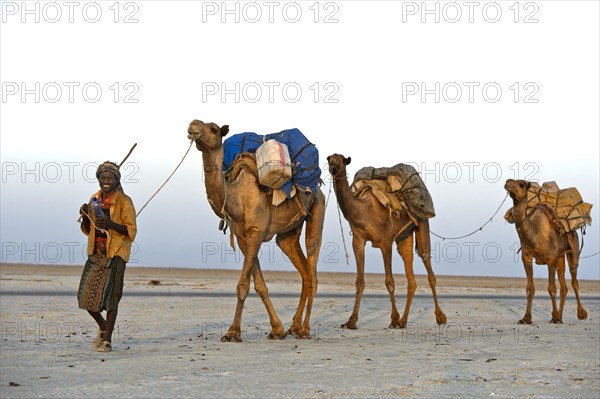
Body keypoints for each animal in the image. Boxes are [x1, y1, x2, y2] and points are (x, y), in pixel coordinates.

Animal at [190, 120, 326, 342]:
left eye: (213, 129)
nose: (193, 126)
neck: (238, 197)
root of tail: (318, 188)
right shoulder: (243, 237)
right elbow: (259, 285)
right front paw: (277, 330)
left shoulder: (256, 232)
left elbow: (243, 285)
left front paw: (232, 333)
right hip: (288, 234)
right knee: (304, 271)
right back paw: (294, 327)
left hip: (317, 209)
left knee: (312, 267)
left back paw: (305, 330)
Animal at [328, 155, 446, 330]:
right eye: (329, 159)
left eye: (341, 160)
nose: (333, 167)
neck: (364, 210)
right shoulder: (358, 241)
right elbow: (359, 281)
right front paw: (351, 321)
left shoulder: (385, 243)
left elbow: (389, 282)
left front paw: (394, 319)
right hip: (404, 236)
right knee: (410, 273)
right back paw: (404, 321)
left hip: (422, 222)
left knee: (428, 265)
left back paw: (440, 317)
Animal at [504, 180, 588, 324]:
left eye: (521, 184)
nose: (508, 182)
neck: (535, 231)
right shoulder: (526, 257)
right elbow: (530, 289)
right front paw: (526, 318)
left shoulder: (551, 259)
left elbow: (552, 288)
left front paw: (554, 317)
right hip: (560, 256)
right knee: (564, 286)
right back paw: (561, 316)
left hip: (574, 248)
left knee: (574, 281)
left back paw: (581, 314)